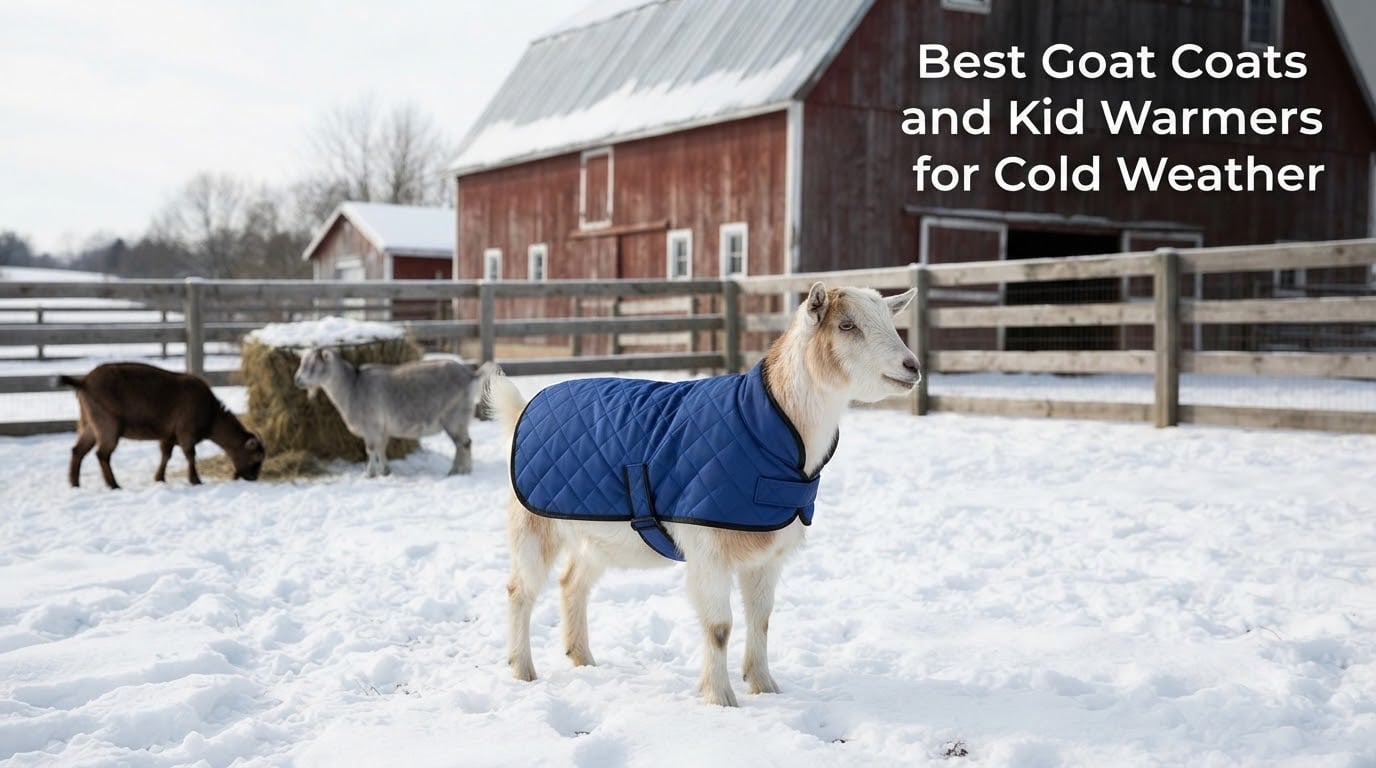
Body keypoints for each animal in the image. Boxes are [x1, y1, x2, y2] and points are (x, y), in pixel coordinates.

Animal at [59, 362, 266, 489]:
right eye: (256, 458)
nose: (253, 478)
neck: (212, 415)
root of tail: (83, 381)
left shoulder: (169, 435)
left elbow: (166, 455)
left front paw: (160, 478)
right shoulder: (185, 432)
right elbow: (190, 455)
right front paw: (195, 480)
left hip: (89, 423)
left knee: (78, 450)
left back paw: (75, 483)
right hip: (107, 423)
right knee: (102, 454)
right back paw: (114, 485)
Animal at [293, 349, 496, 477]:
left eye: (312, 365)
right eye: (302, 362)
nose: (297, 380)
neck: (352, 387)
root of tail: (471, 375)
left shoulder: (371, 427)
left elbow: (371, 450)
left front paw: (369, 474)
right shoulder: (381, 429)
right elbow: (381, 448)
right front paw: (385, 471)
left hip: (455, 416)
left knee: (464, 444)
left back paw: (459, 472)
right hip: (460, 418)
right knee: (463, 444)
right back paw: (459, 470)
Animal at [487, 282, 920, 706]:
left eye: (889, 320)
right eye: (847, 326)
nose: (912, 366)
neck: (771, 424)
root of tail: (523, 408)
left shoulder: (767, 553)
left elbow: (761, 619)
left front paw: (764, 686)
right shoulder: (708, 547)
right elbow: (719, 626)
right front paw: (720, 698)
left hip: (594, 536)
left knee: (571, 583)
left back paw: (582, 659)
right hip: (533, 525)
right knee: (519, 589)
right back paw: (522, 670)